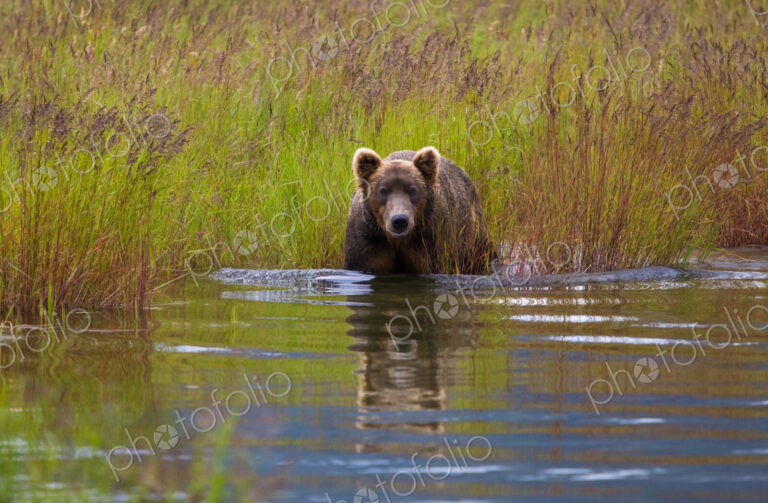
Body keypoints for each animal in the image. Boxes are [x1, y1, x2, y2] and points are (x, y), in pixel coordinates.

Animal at [343, 146, 495, 274]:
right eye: (383, 190)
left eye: (412, 190)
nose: (399, 220)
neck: (397, 241)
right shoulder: (369, 239)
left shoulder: (428, 239)